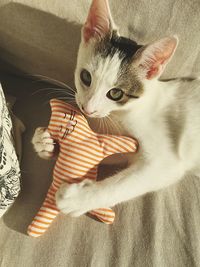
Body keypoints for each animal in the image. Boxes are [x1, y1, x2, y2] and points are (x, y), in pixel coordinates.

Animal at [32, 0, 200, 218]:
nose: (87, 109)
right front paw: (45, 142)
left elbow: (125, 183)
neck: (123, 114)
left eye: (116, 94)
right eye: (86, 77)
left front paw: (77, 199)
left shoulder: (166, 161)